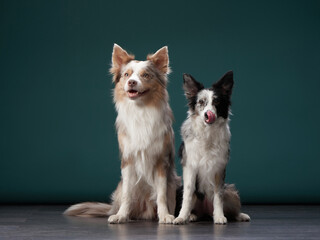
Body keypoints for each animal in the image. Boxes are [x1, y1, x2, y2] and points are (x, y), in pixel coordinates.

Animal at [64, 44, 180, 223]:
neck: (141, 110)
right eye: (126, 75)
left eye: (146, 75)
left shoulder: (162, 161)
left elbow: (161, 194)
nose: (132, 82)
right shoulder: (128, 160)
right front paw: (121, 216)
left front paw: (165, 216)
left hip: (174, 180)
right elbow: (127, 193)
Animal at [172, 71, 250, 225]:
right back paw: (191, 216)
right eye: (201, 102)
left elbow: (218, 196)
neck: (207, 133)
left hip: (230, 192)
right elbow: (188, 194)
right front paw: (181, 217)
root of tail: (206, 211)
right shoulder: (190, 166)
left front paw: (219, 216)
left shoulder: (219, 168)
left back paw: (240, 215)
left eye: (217, 102)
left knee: (231, 209)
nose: (209, 114)